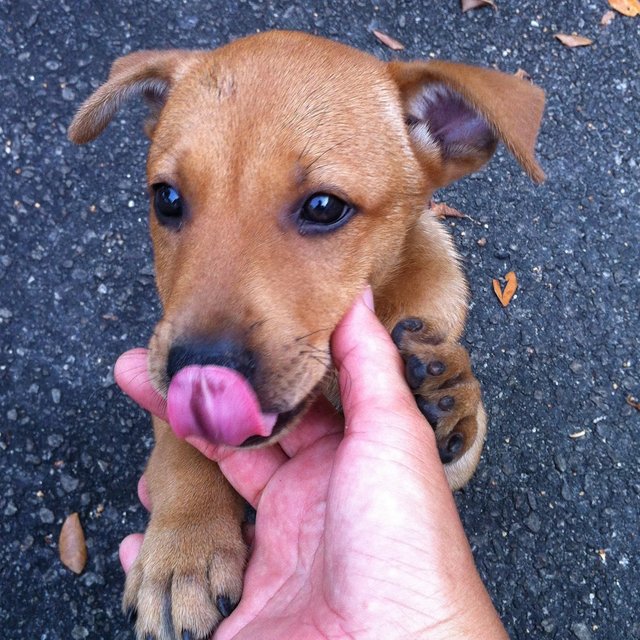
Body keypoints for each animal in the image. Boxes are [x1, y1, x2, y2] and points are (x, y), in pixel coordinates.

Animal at [70, 30, 544, 640]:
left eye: (323, 207)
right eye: (166, 199)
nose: (199, 372)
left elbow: (467, 427)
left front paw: (447, 393)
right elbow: (181, 445)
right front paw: (184, 552)